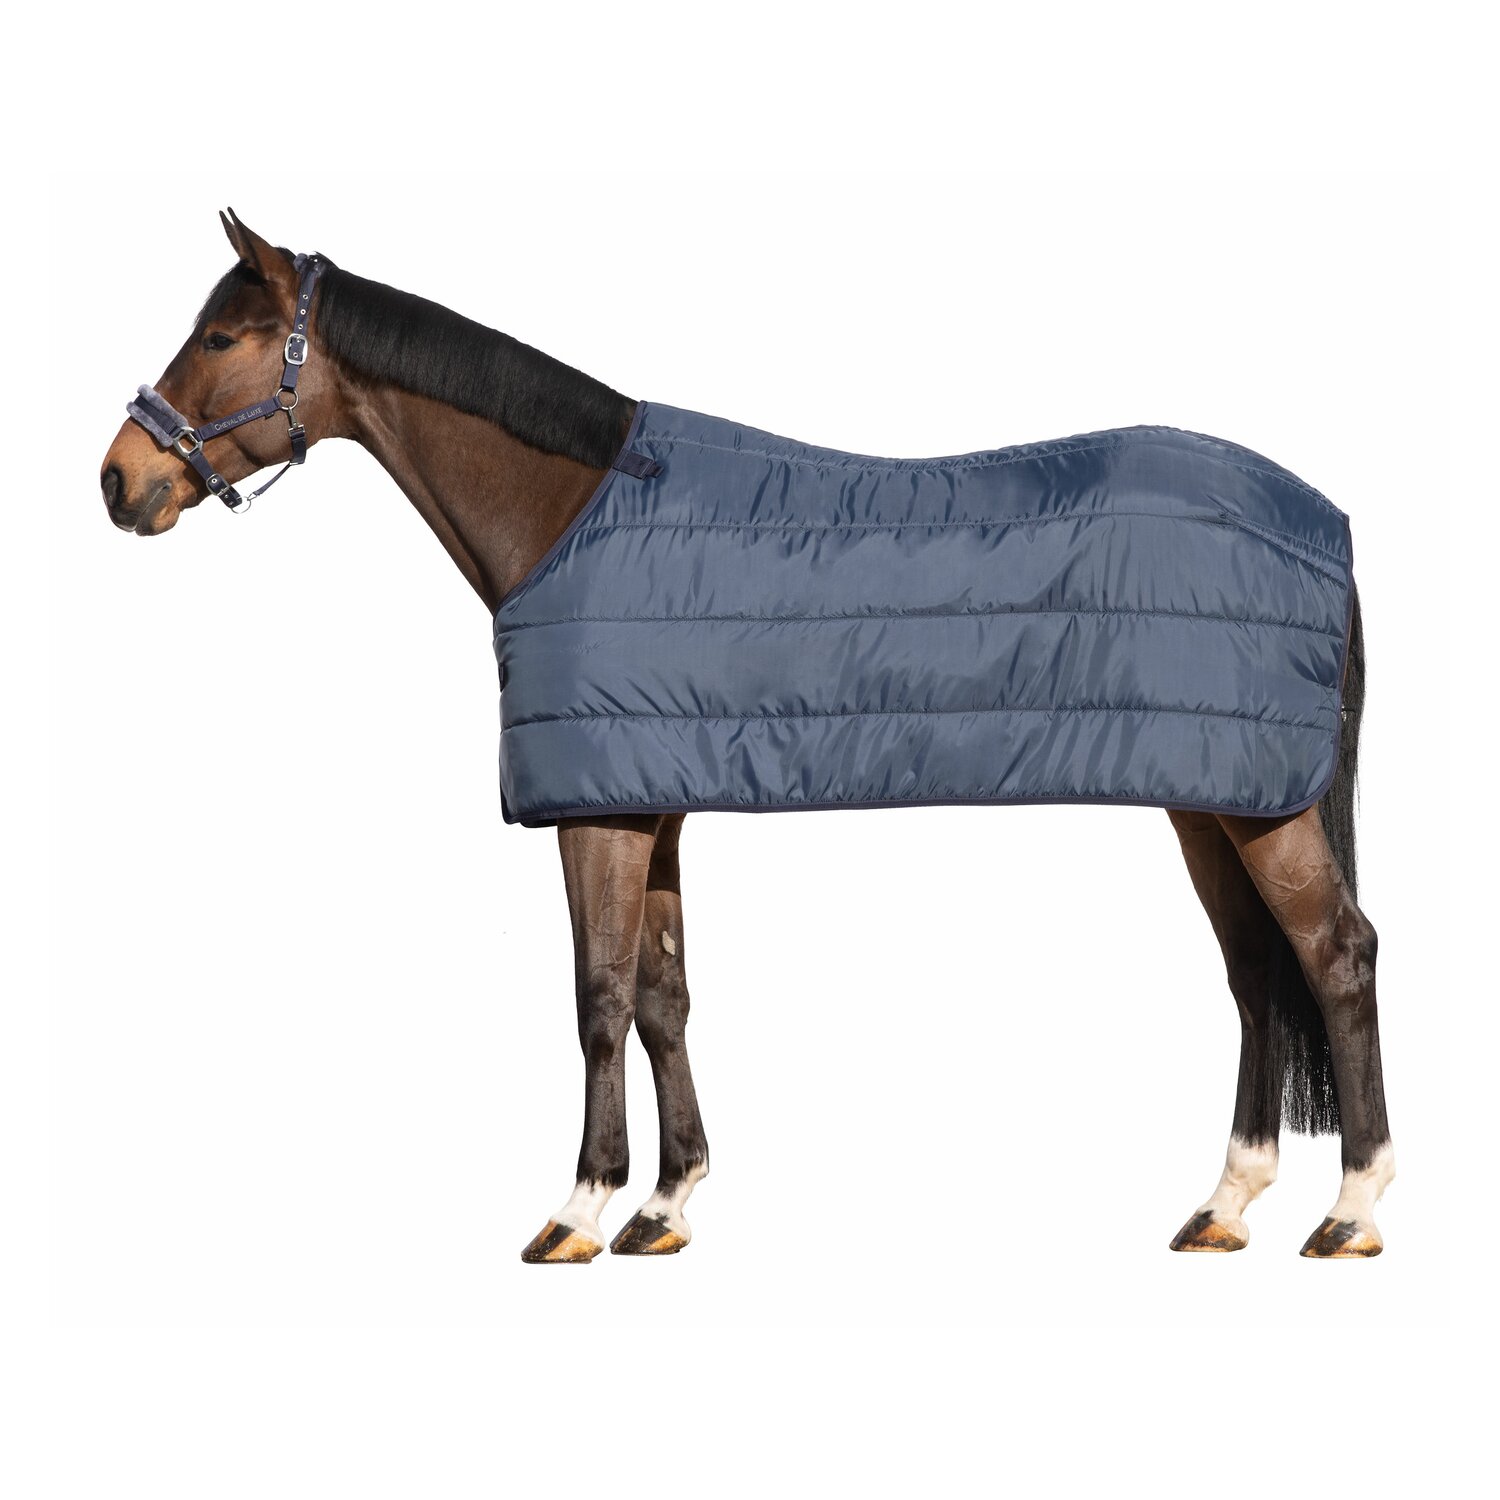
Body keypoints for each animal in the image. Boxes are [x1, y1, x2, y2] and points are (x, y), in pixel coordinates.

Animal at [98, 210, 1393, 1263]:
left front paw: (580, 1210)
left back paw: (1351, 1210)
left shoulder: (600, 812)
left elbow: (599, 996)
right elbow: (664, 997)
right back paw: (1226, 1204)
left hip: (1263, 808)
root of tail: (1321, 518)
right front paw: (667, 1207)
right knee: (1256, 975)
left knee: (1336, 956)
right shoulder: (652, 800)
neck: (569, 514)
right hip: (1211, 799)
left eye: (222, 339)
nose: (119, 481)